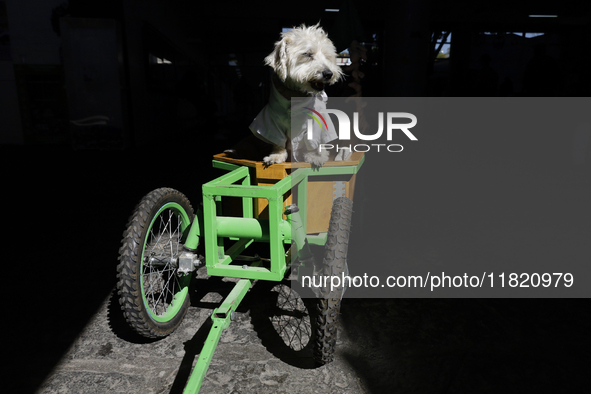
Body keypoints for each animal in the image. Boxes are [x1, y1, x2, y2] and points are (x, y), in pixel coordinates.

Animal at [247, 24, 350, 166]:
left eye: (327, 56)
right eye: (307, 54)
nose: (329, 74)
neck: (295, 93)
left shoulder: (316, 122)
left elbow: (314, 141)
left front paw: (315, 156)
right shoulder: (272, 121)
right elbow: (277, 141)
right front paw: (276, 156)